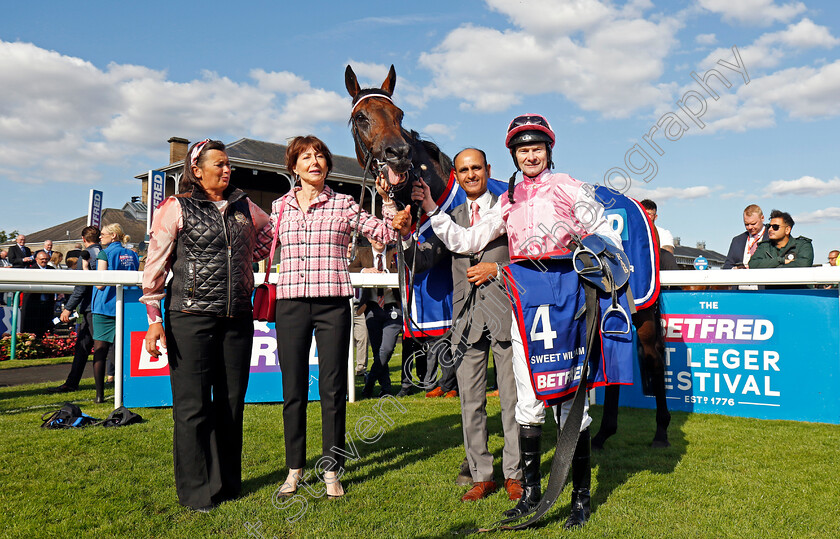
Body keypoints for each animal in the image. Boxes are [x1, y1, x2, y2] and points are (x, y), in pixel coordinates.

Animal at [342, 64, 668, 452]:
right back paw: (604, 433)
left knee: (654, 357)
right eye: (361, 117)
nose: (398, 153)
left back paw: (660, 433)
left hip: (642, 309)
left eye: (399, 114)